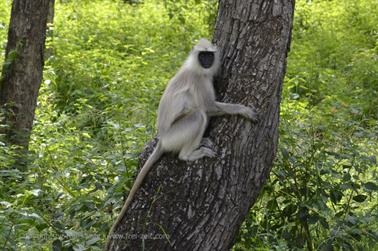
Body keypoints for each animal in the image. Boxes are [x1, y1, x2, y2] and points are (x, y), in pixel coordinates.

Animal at [105, 38, 256, 246]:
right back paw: (189, 154)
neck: (196, 68)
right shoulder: (198, 79)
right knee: (199, 114)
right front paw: (242, 110)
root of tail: (162, 138)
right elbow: (209, 107)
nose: (207, 61)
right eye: (202, 55)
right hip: (175, 135)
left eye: (209, 55)